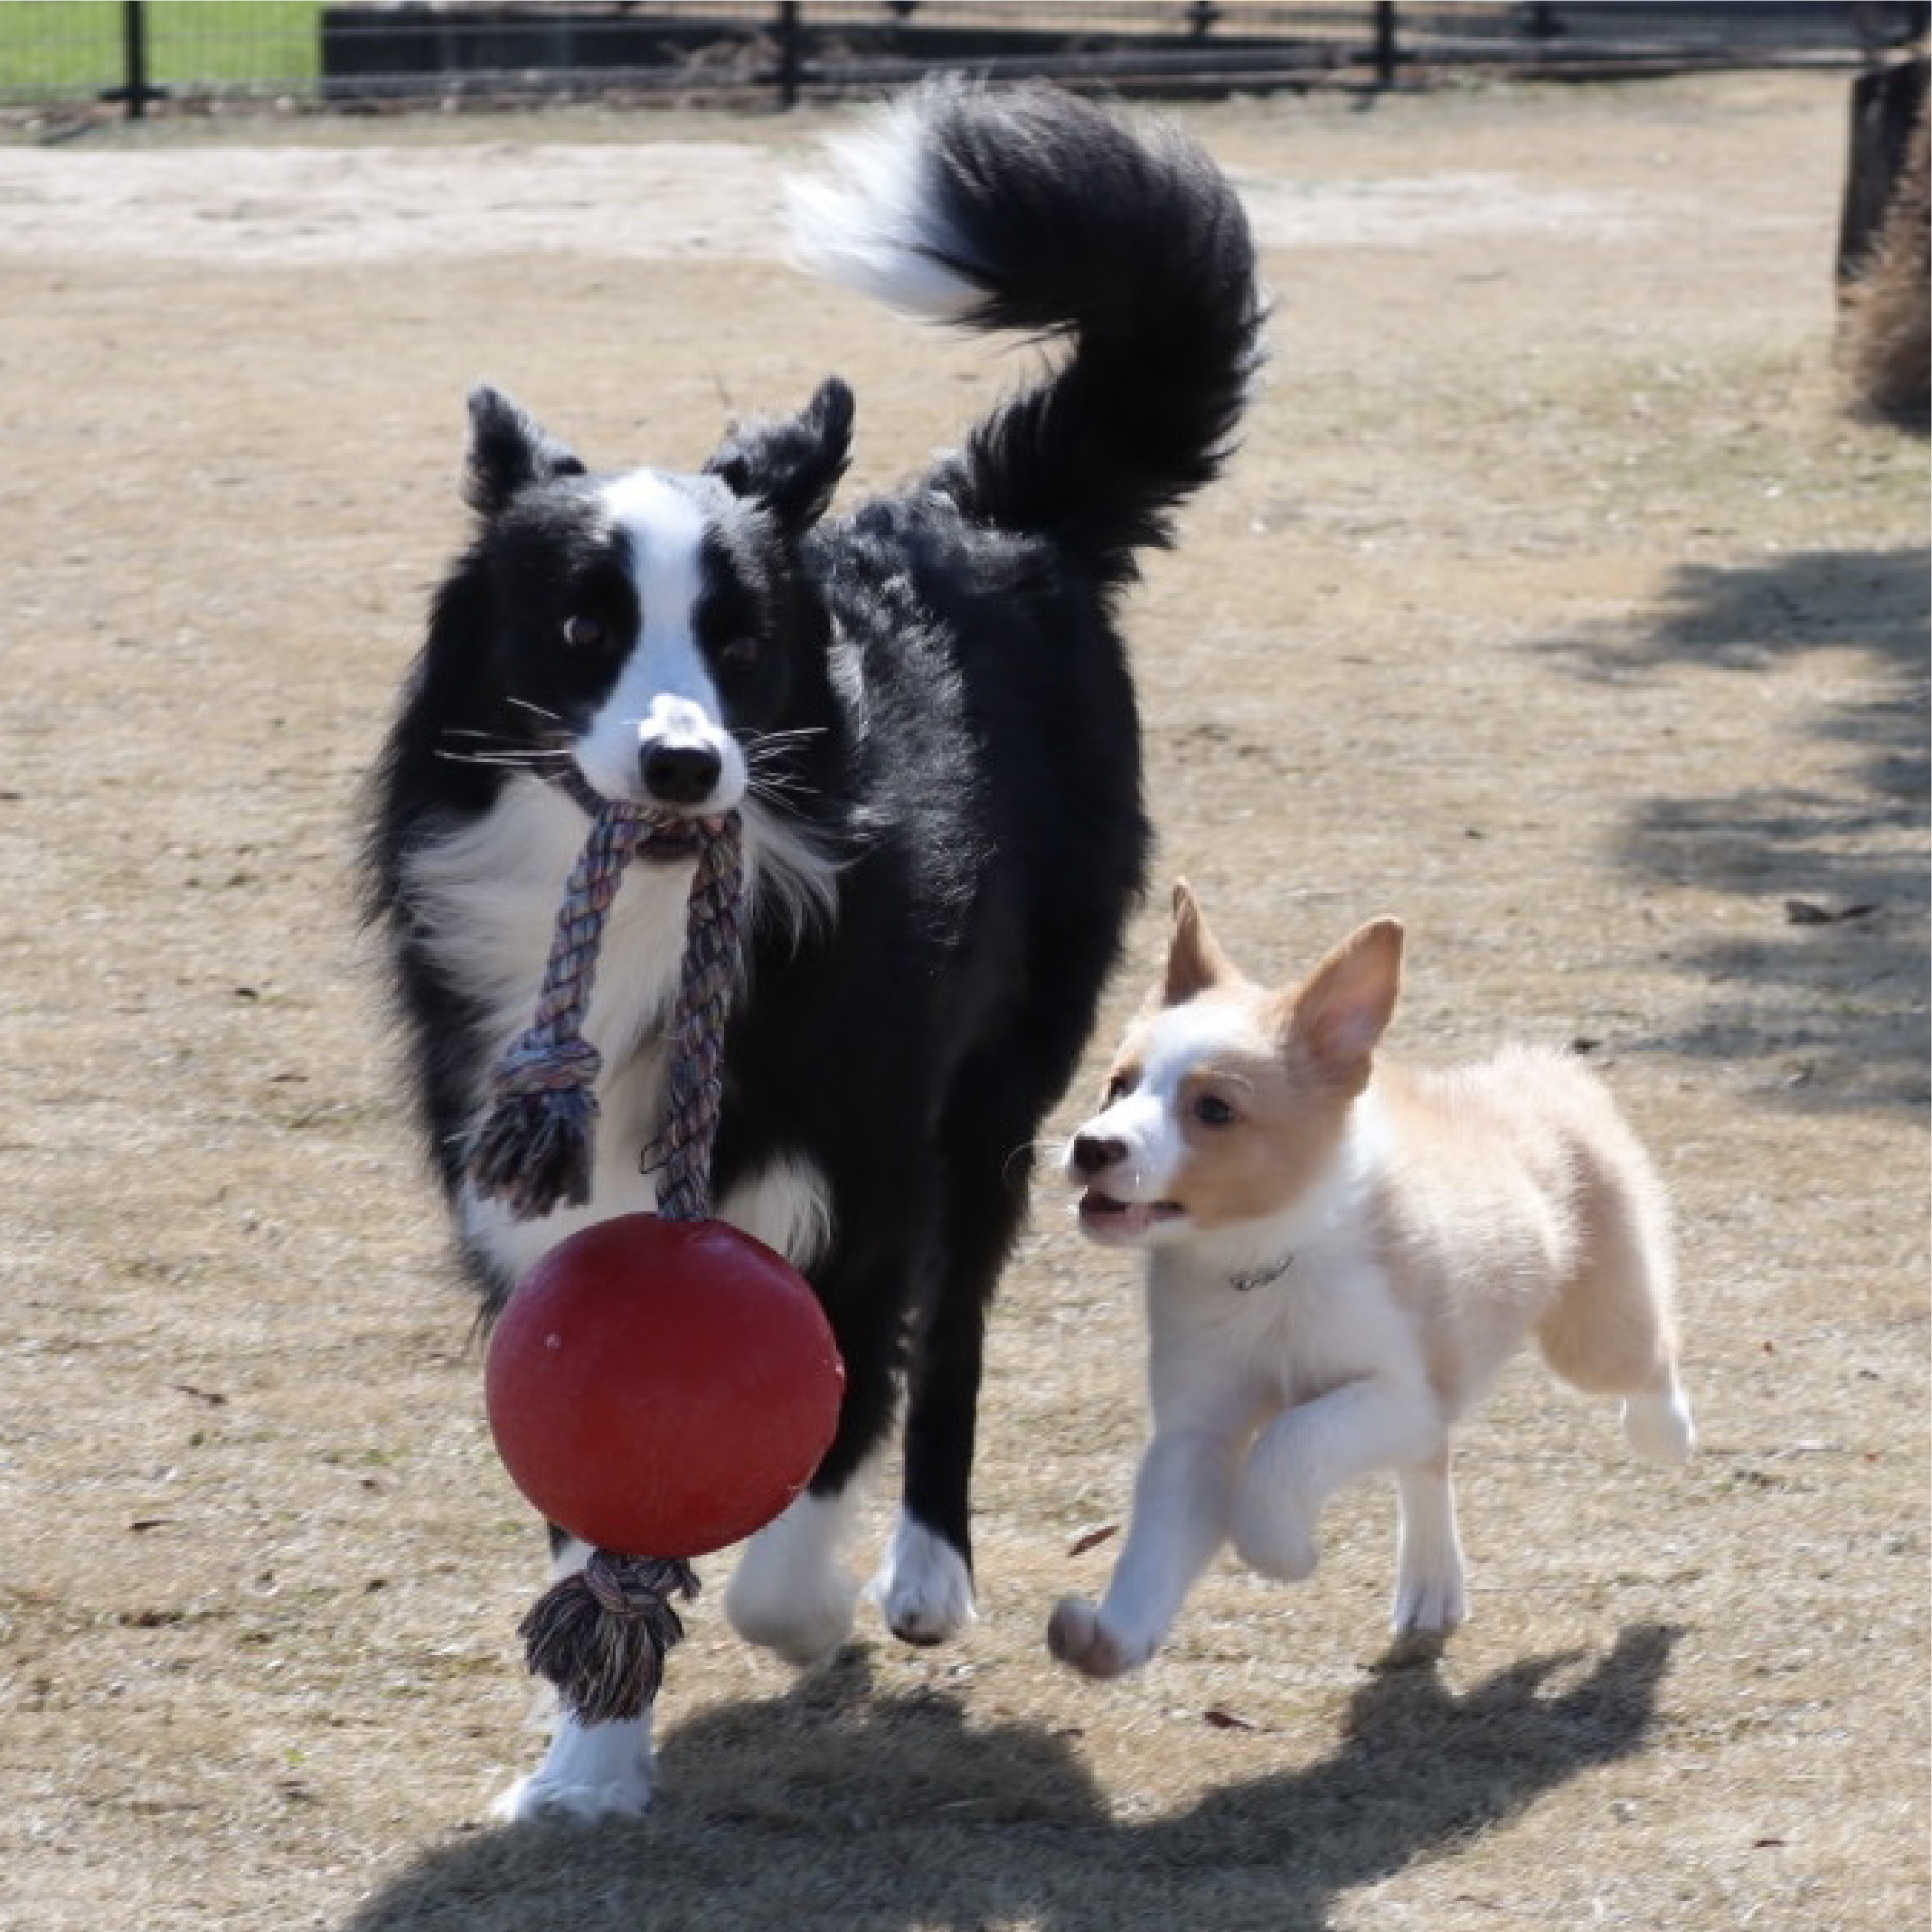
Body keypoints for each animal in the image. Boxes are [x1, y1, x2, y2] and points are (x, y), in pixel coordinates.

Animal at [363, 79, 1267, 1823]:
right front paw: (588, 1757)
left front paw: (806, 1617)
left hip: (998, 1087)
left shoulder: (862, 1177)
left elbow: (823, 1443)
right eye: (579, 626)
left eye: (736, 636)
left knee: (957, 1321)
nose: (681, 765)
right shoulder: (547, 1221)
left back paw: (920, 1575)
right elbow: (592, 1512)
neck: (653, 927)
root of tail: (983, 509)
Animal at [1051, 884, 1700, 1676]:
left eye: (1214, 1109)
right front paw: (1108, 1637)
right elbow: (1157, 1541)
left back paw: (1666, 1433)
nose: (1091, 1146)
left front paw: (1285, 1553)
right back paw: (1431, 1588)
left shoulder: (1403, 1393)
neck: (1268, 1263)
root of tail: (1544, 1070)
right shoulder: (1197, 1429)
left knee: (1649, 1356)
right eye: (1118, 1085)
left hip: (1594, 1338)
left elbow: (1285, 1445)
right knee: (1428, 1468)